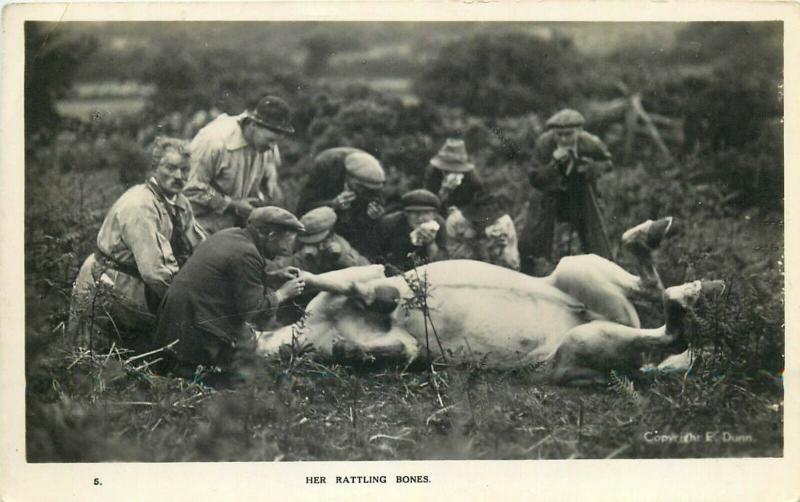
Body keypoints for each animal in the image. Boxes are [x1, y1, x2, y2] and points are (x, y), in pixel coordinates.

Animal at [258, 218, 724, 386]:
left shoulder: (362, 274)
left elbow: (354, 284)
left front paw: (295, 278)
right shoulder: (403, 348)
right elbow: (394, 349)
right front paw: (350, 348)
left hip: (579, 267)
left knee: (651, 291)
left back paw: (674, 258)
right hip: (576, 350)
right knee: (665, 329)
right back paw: (694, 291)